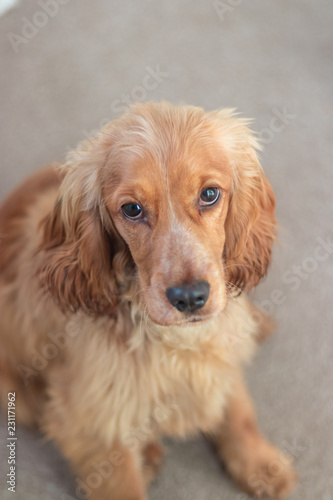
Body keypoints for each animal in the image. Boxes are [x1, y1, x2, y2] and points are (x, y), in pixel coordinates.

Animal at [0, 102, 296, 500]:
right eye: (132, 209)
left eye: (209, 194)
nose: (190, 298)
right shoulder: (90, 419)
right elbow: (121, 479)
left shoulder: (222, 349)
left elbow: (239, 410)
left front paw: (260, 464)